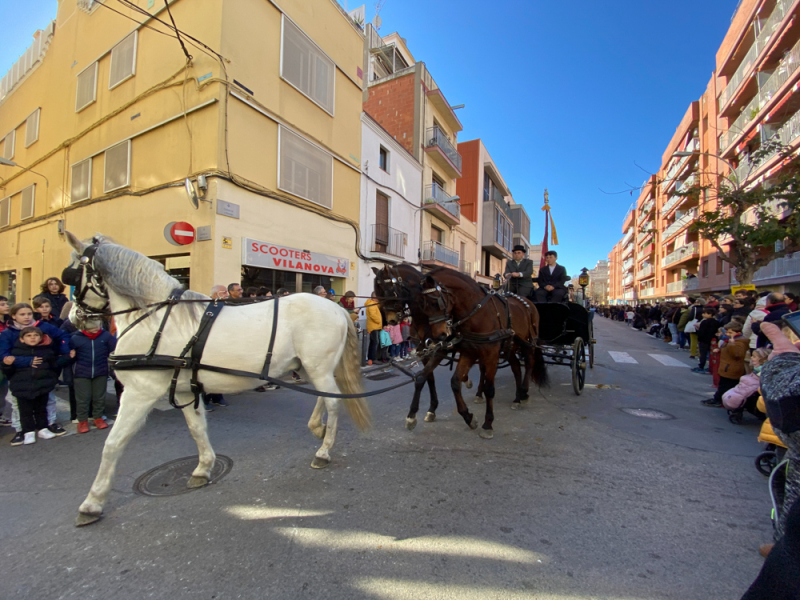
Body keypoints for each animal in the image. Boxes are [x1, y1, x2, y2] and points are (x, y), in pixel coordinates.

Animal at [63, 232, 372, 528]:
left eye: (72, 274)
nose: (75, 318)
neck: (156, 318)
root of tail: (337, 308)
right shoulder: (185, 390)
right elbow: (197, 428)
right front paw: (202, 468)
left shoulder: (140, 392)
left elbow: (113, 444)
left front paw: (92, 503)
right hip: (311, 367)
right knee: (327, 395)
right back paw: (318, 429)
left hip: (317, 367)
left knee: (333, 403)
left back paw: (323, 451)